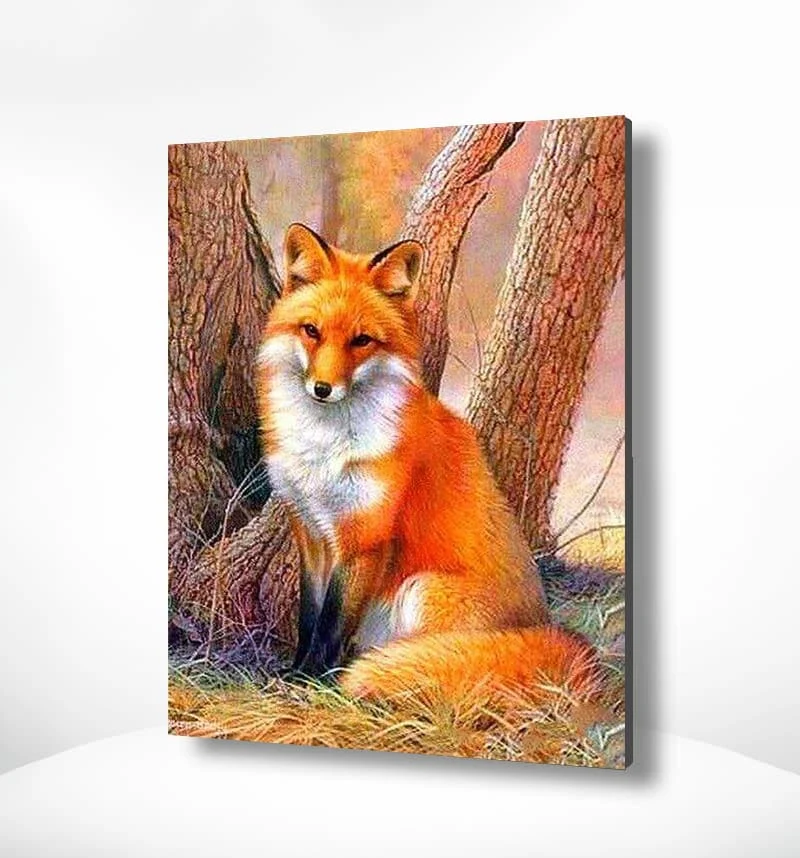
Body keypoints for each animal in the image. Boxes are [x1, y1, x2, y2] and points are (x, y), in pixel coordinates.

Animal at [255, 223, 597, 705]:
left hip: (422, 590)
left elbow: (332, 624)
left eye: (362, 340)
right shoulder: (311, 531)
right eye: (311, 331)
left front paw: (312, 681)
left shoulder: (365, 537)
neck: (324, 448)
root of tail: (546, 626)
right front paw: (295, 671)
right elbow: (310, 617)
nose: (322, 388)